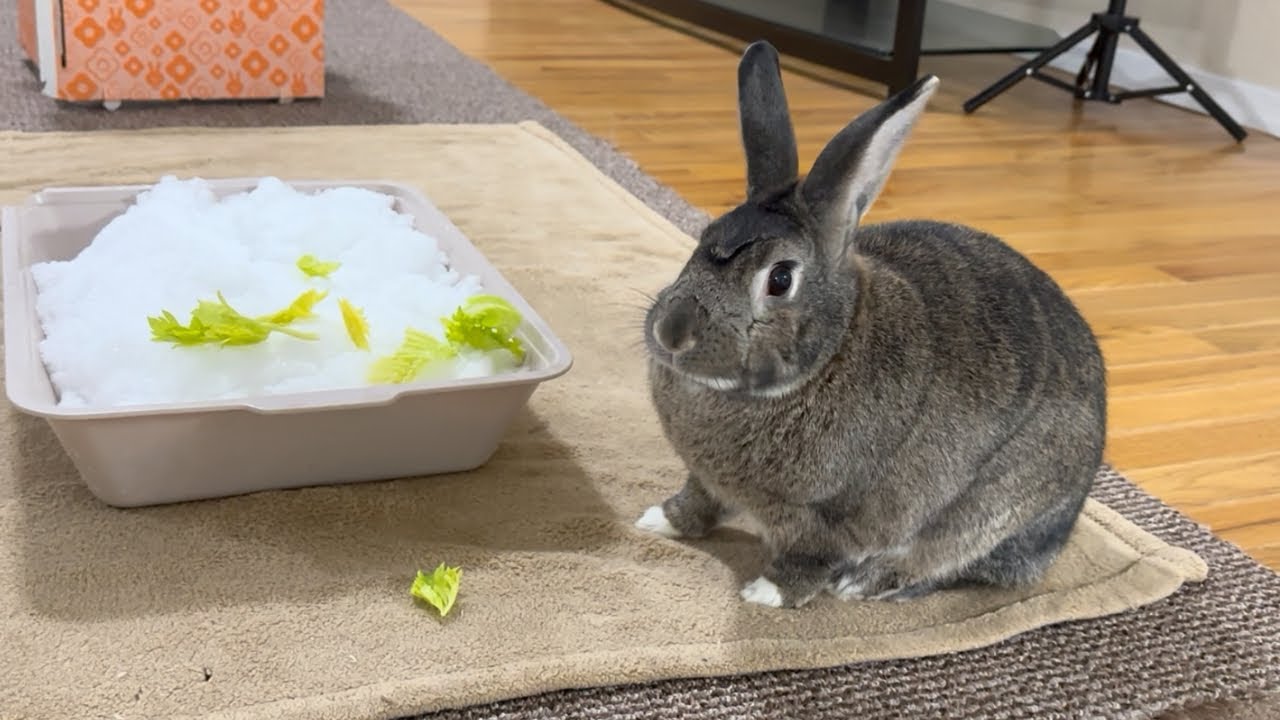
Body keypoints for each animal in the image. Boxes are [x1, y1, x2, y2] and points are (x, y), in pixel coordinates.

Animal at [635, 40, 1107, 610]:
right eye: (705, 237)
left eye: (780, 279)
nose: (672, 334)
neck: (828, 354)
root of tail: (1059, 532)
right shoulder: (704, 479)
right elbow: (697, 502)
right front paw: (657, 521)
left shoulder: (828, 519)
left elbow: (809, 559)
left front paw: (766, 594)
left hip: (986, 514)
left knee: (942, 564)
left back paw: (864, 582)